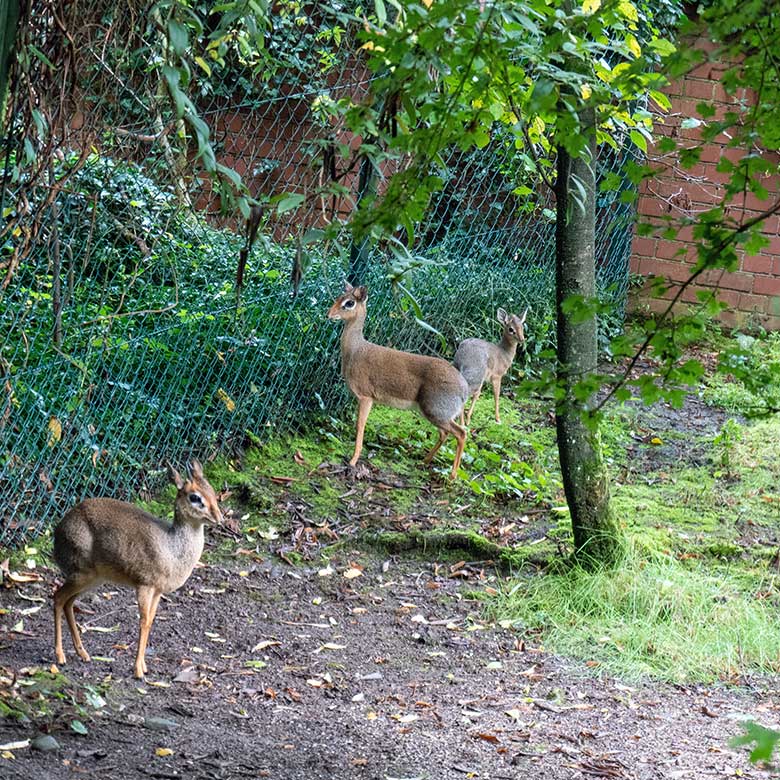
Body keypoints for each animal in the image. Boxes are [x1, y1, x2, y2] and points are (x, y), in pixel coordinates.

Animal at [52, 460, 222, 680]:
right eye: (195, 497)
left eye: (212, 491)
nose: (218, 517)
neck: (172, 549)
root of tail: (57, 532)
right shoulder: (144, 586)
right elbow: (143, 621)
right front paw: (138, 671)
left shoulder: (157, 591)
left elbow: (150, 622)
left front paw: (144, 666)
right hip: (81, 575)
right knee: (58, 598)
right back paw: (60, 656)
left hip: (92, 580)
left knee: (68, 603)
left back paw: (83, 654)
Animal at [326, 284, 466, 478]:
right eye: (338, 297)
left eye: (349, 303)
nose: (329, 314)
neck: (355, 351)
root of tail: (464, 390)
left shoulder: (366, 397)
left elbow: (360, 426)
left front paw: (353, 462)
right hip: (433, 412)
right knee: (445, 433)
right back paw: (424, 461)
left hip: (436, 411)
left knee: (461, 433)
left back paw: (452, 476)